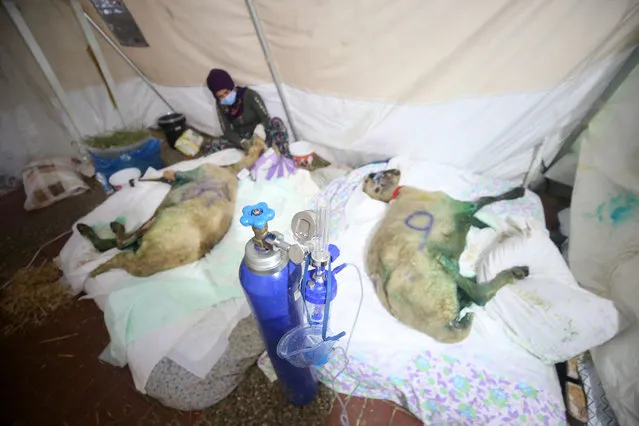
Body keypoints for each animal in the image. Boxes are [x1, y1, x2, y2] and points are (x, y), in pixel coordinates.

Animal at [77, 136, 268, 276]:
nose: (240, 140)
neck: (233, 171)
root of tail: (141, 262)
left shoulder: (184, 175)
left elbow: (169, 176)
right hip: (149, 225)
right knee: (114, 243)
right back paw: (86, 229)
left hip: (153, 227)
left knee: (119, 244)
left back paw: (107, 230)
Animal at [362, 170, 532, 342]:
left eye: (373, 181)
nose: (374, 176)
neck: (397, 194)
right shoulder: (459, 205)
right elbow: (485, 199)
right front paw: (516, 193)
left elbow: (477, 216)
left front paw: (484, 225)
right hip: (432, 272)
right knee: (480, 295)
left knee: (469, 295)